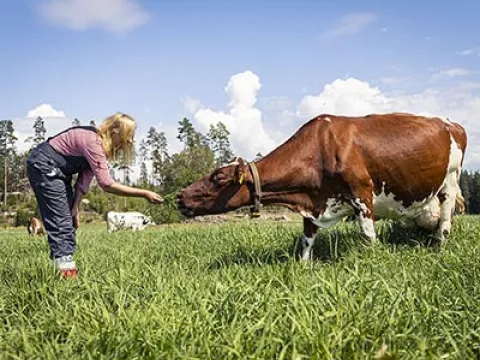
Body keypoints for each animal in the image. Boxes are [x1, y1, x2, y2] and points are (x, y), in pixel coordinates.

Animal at [178, 112, 466, 258]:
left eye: (217, 177)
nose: (180, 196)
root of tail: (451, 122)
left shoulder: (362, 193)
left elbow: (368, 235)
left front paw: (373, 262)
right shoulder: (312, 202)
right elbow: (306, 241)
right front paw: (302, 267)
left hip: (451, 180)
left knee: (445, 218)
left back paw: (439, 246)